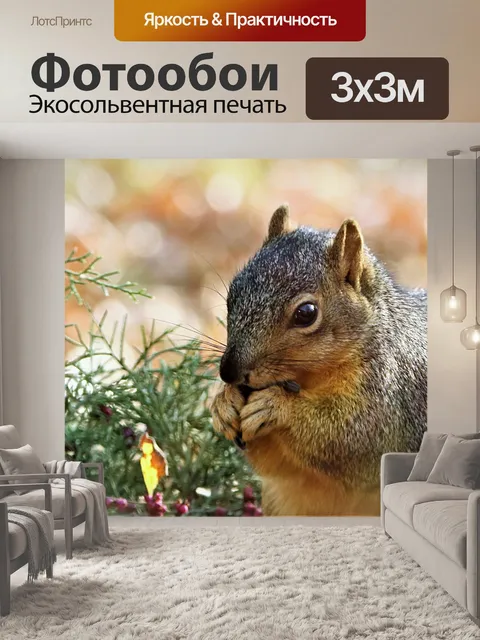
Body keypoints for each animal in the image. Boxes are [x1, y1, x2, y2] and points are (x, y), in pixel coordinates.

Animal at [210, 204, 427, 516]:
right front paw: (222, 404)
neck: (307, 379)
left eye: (306, 313)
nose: (229, 372)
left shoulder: (392, 398)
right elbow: (277, 466)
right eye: (232, 295)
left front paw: (279, 407)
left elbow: (355, 441)